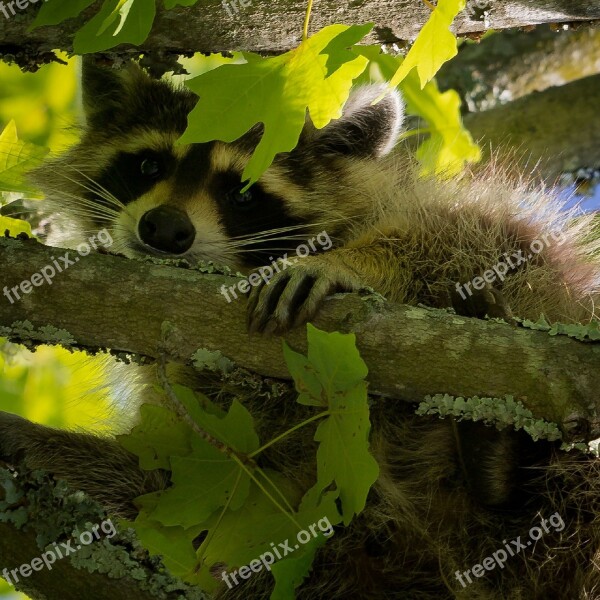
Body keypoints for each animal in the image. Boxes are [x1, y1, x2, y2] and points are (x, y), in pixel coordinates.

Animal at [1, 57, 600, 600]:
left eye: (243, 193)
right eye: (148, 165)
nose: (165, 228)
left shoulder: (436, 213)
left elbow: (452, 232)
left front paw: (348, 263)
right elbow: (173, 487)